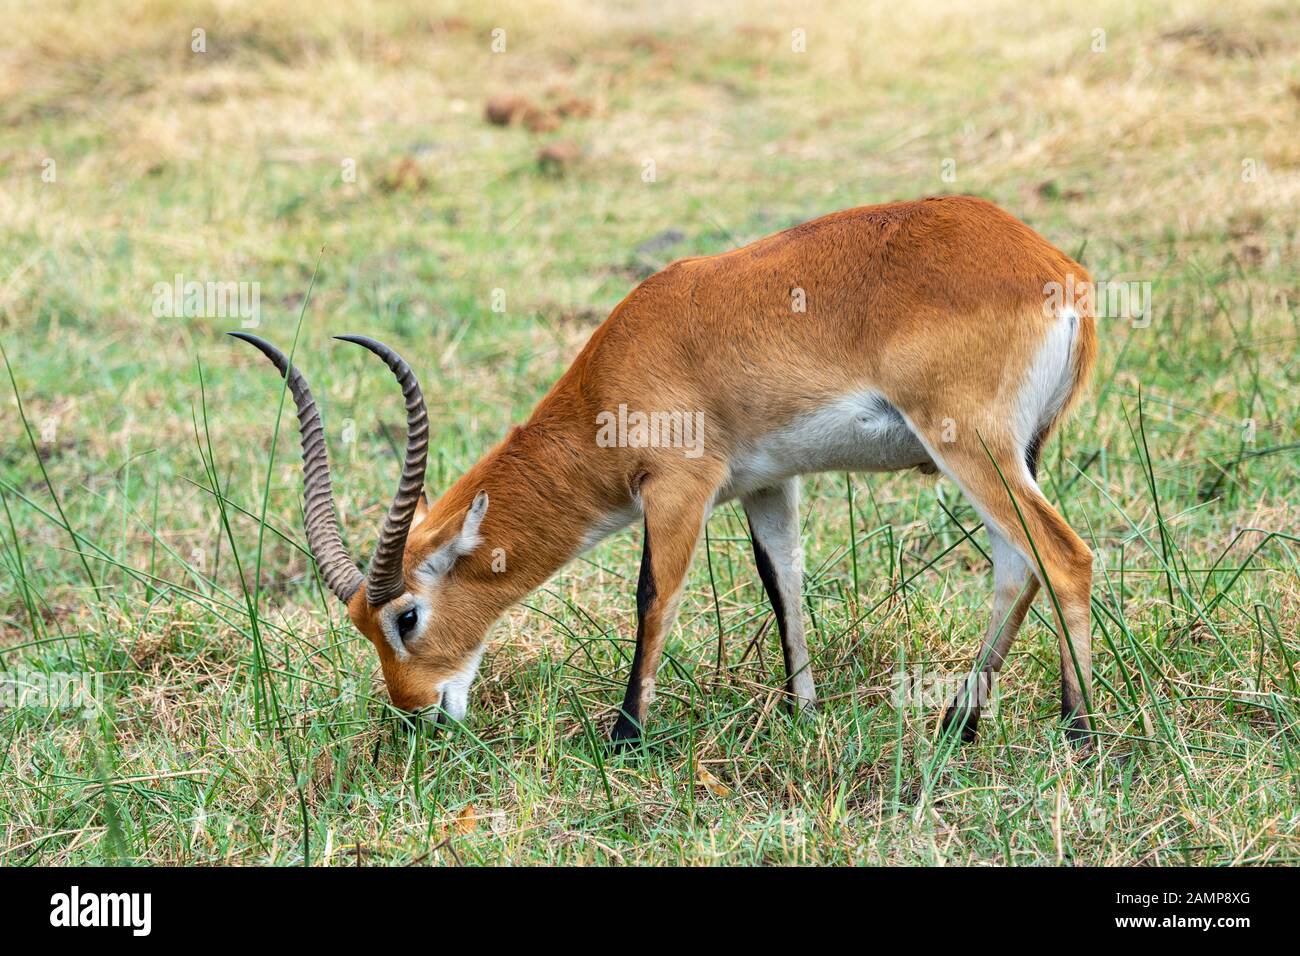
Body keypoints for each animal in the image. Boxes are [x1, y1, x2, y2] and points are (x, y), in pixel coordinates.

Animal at [231, 195, 1097, 749]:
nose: (416, 714)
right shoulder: (766, 484)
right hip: (1011, 455)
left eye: (406, 617)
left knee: (1063, 556)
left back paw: (1079, 730)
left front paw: (624, 736)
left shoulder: (679, 488)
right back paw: (959, 724)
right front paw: (802, 713)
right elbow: (783, 583)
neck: (621, 362)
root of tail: (1059, 270)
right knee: (1018, 566)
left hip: (971, 447)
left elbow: (655, 595)